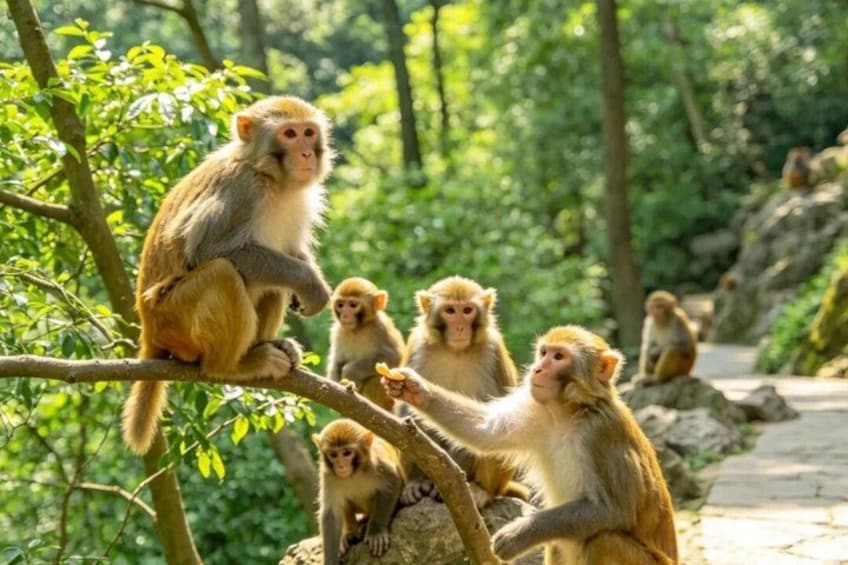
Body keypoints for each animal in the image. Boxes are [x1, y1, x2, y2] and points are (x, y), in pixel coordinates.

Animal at [122, 96, 335, 455]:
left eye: (308, 132)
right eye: (289, 134)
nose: (307, 153)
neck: (270, 177)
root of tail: (149, 329)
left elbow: (291, 251)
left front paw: (305, 286)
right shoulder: (240, 192)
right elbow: (210, 250)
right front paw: (310, 283)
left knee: (271, 279)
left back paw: (265, 346)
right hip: (172, 318)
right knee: (223, 272)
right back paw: (232, 366)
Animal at [312, 419, 403, 562]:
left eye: (346, 453)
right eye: (333, 455)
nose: (341, 466)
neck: (354, 473)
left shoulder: (378, 465)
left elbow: (392, 483)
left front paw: (376, 533)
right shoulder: (328, 476)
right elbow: (331, 513)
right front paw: (330, 559)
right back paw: (349, 534)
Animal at [326, 277, 405, 411]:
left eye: (353, 305)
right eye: (340, 305)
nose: (345, 315)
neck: (358, 329)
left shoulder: (381, 328)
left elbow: (393, 357)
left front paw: (350, 371)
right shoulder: (338, 331)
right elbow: (338, 361)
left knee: (376, 378)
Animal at [382, 325, 679, 565]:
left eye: (558, 357)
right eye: (544, 353)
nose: (537, 369)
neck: (568, 414)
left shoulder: (601, 433)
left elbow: (615, 510)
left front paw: (519, 534)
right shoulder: (538, 414)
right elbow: (487, 432)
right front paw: (414, 388)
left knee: (604, 540)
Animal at [399, 276, 525, 508]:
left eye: (467, 310)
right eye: (450, 310)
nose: (459, 327)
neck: (455, 351)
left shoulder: (493, 350)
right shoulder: (417, 345)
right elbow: (407, 413)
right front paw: (417, 481)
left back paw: (481, 490)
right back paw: (419, 483)